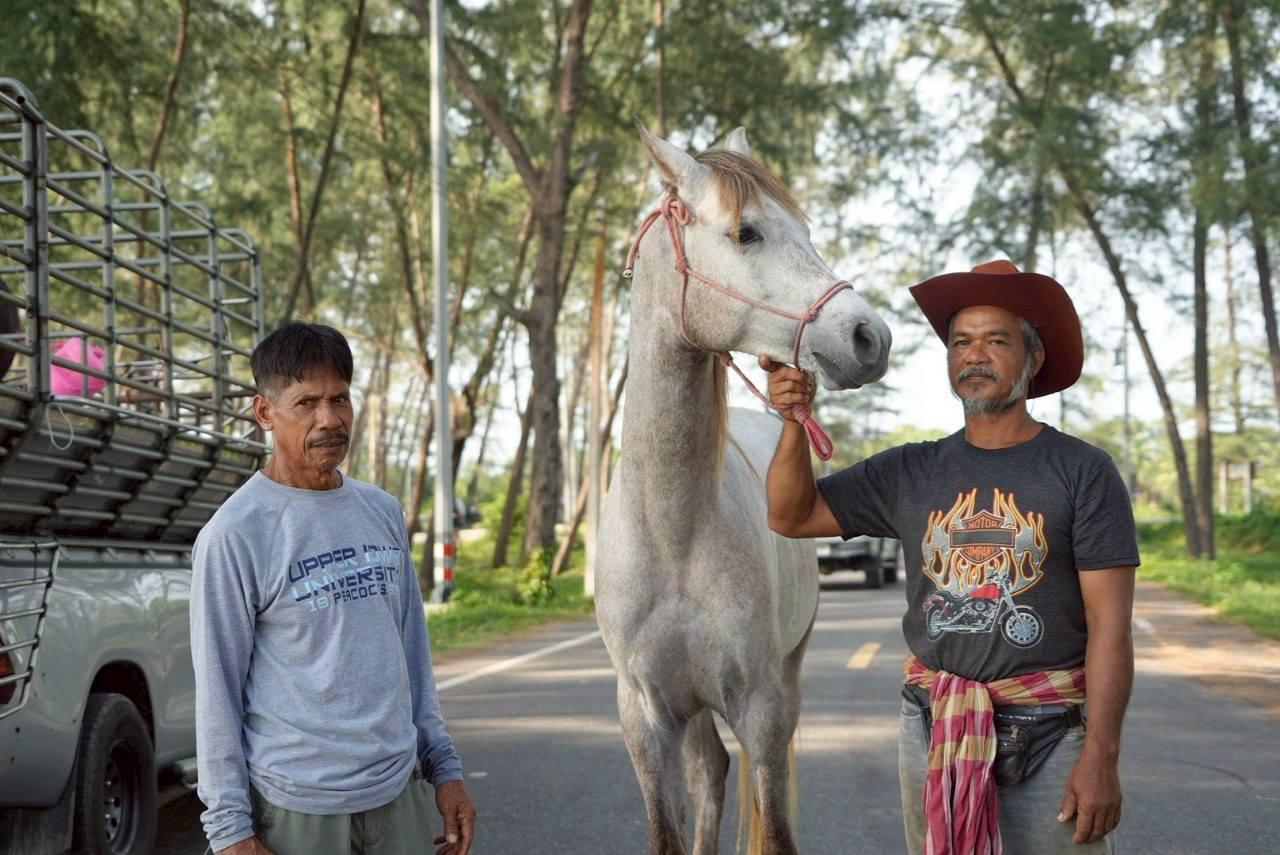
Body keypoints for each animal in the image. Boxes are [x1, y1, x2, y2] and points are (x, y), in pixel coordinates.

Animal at [595, 125, 891, 855]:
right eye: (747, 231)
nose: (869, 337)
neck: (673, 532)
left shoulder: (760, 706)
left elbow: (775, 826)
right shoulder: (645, 721)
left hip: (785, 676)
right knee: (709, 771)